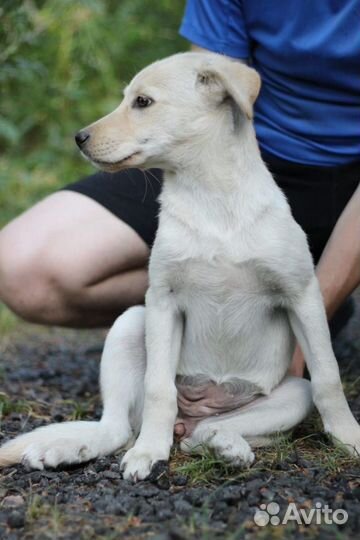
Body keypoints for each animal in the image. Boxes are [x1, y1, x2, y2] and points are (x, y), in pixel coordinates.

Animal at [0, 52, 360, 478]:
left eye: (142, 102)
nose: (79, 138)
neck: (211, 198)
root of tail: (192, 416)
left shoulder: (302, 294)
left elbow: (328, 377)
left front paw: (348, 435)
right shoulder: (162, 300)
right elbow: (159, 388)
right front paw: (148, 452)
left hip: (289, 394)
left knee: (209, 433)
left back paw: (228, 447)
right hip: (130, 323)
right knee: (118, 427)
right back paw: (68, 449)